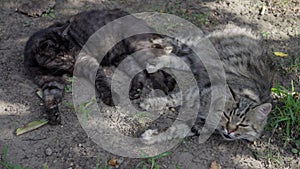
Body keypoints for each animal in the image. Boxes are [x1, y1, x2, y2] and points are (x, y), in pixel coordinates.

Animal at [139, 24, 274, 143]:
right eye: (227, 116)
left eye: (243, 125)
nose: (230, 131)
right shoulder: (199, 91)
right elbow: (171, 99)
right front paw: (150, 103)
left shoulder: (201, 126)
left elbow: (175, 130)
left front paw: (152, 136)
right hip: (199, 47)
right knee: (176, 42)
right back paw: (155, 47)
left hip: (196, 62)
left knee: (177, 59)